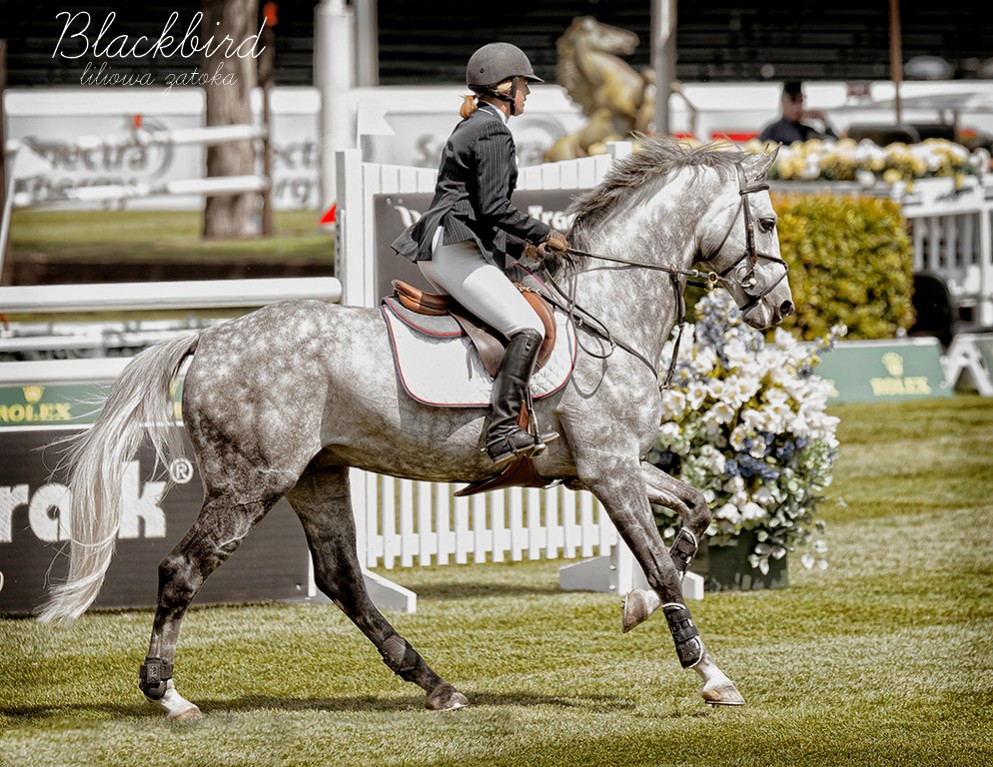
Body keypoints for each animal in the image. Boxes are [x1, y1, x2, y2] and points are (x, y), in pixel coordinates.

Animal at [38, 138, 792, 720]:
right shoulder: (607, 468)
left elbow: (694, 511)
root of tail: (210, 335)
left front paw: (635, 605)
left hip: (316, 475)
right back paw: (168, 695)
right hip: (250, 483)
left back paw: (436, 685)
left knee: (343, 580)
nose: (780, 309)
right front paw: (710, 674)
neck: (604, 309)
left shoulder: (603, 466)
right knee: (183, 569)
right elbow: (661, 562)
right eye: (765, 220)